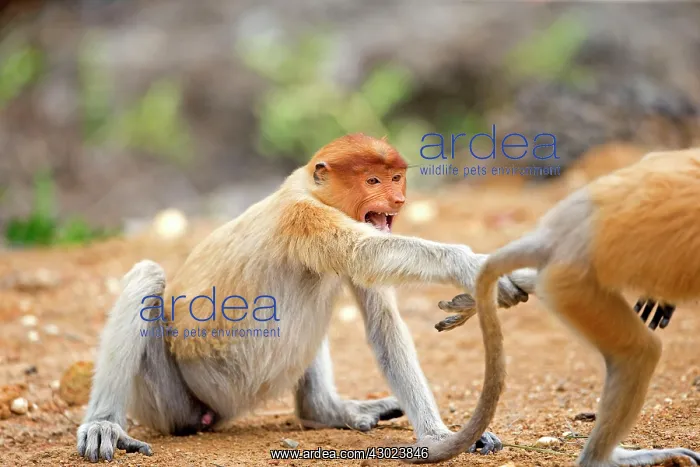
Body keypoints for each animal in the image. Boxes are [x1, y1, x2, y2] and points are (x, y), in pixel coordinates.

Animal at [76, 133, 533, 463]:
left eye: (396, 177)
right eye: (372, 180)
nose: (398, 200)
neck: (310, 190)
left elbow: (383, 324)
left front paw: (439, 436)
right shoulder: (304, 218)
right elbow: (367, 252)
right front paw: (474, 267)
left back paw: (327, 411)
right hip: (171, 400)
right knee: (146, 275)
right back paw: (103, 426)